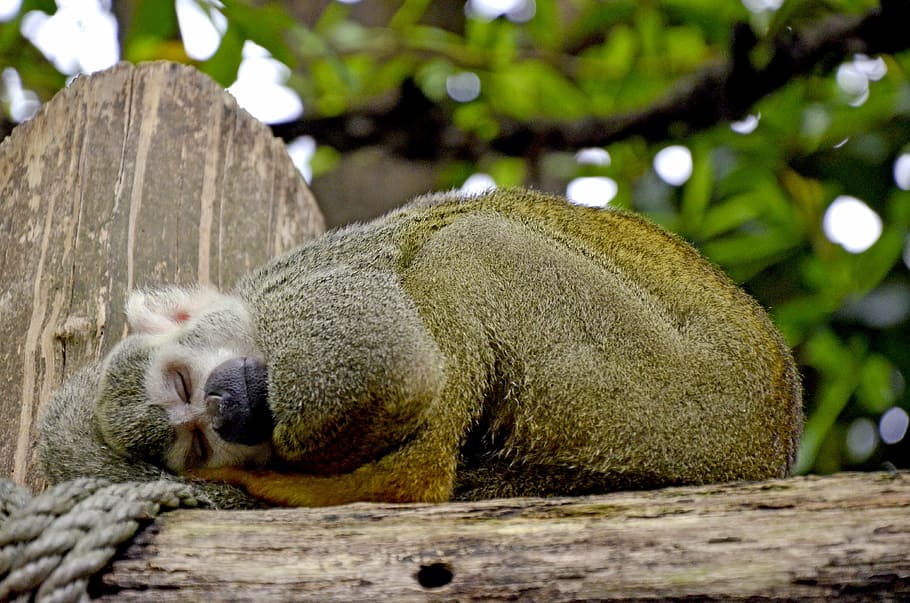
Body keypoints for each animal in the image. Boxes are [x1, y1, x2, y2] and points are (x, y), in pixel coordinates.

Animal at [39, 188, 803, 508]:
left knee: (466, 248)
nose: (224, 406)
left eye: (182, 385)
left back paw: (404, 480)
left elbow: (390, 365)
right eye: (195, 443)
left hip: (679, 398)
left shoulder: (307, 297)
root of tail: (767, 445)